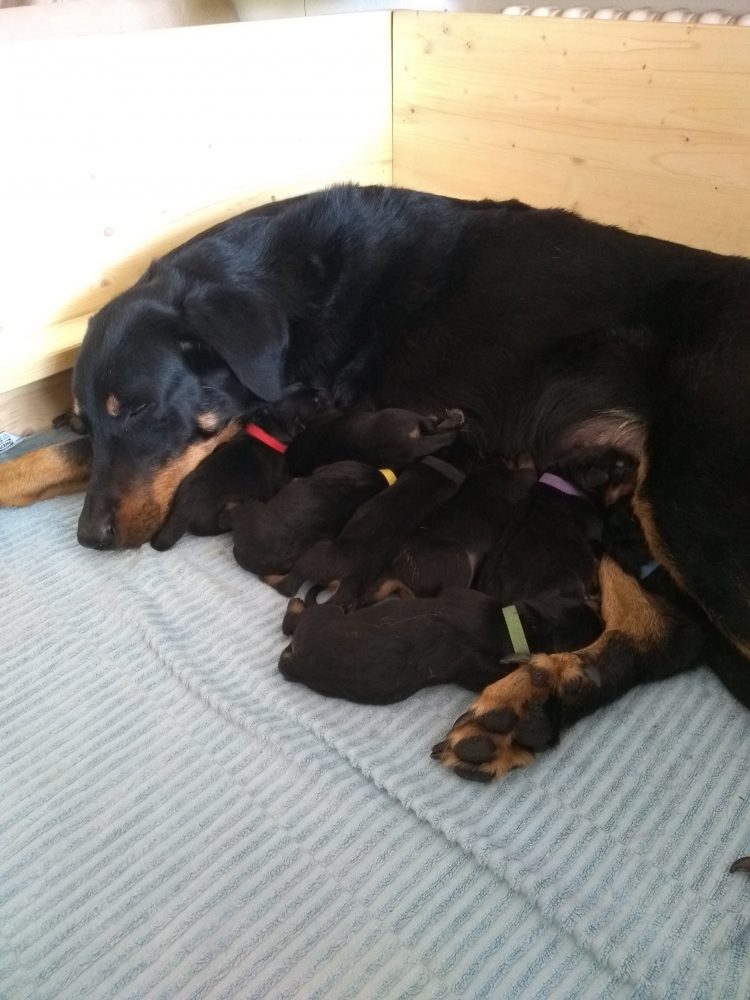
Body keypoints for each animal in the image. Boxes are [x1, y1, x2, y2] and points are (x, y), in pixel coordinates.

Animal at [280, 584, 604, 704]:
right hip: (327, 613)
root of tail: (297, 662)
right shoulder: (479, 672)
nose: (603, 621)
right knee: (295, 619)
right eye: (589, 635)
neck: (514, 623)